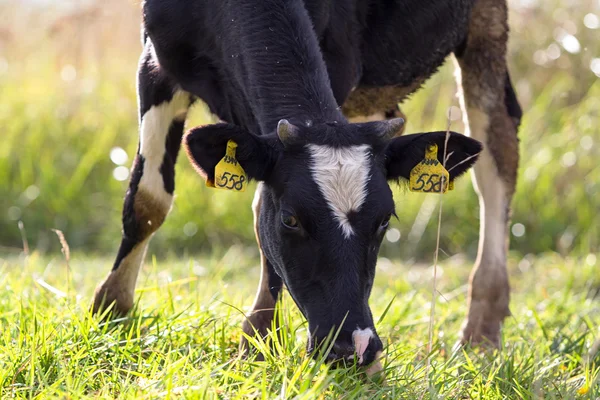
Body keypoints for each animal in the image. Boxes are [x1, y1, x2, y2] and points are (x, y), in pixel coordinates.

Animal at [90, 0, 520, 372]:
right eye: (290, 220)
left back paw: (482, 332)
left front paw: (258, 338)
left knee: (498, 152)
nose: (353, 346)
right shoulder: (157, 61)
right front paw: (111, 310)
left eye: (385, 220)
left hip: (485, 26)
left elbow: (256, 209)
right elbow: (148, 200)